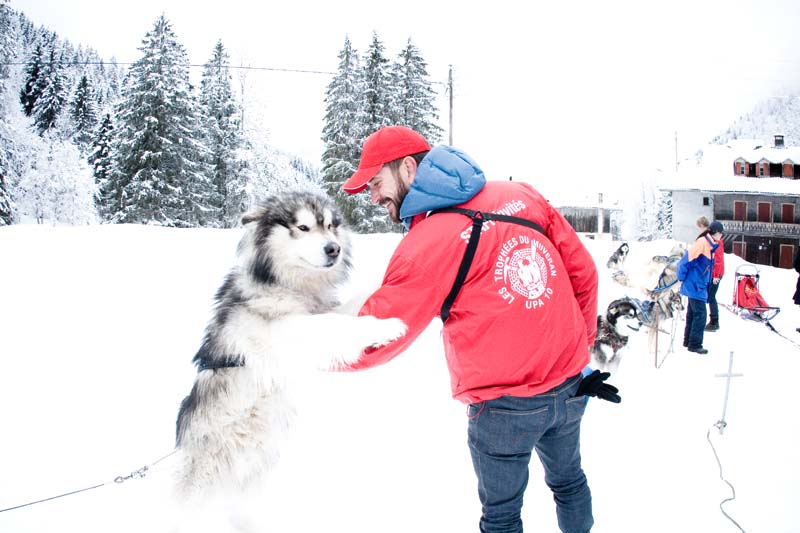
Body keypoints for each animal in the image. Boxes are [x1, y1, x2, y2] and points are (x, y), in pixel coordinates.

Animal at [173, 190, 406, 530]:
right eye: (303, 227)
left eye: (330, 226)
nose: (333, 249)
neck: (291, 285)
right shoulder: (283, 331)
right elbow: (335, 324)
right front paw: (385, 326)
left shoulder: (320, 311)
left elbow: (349, 308)